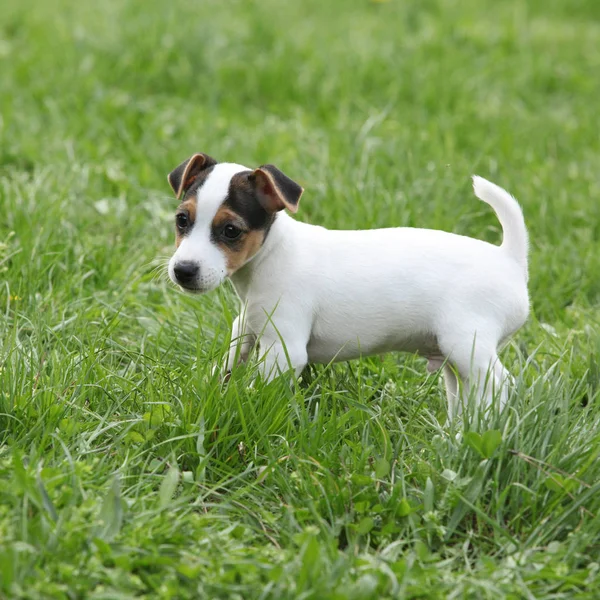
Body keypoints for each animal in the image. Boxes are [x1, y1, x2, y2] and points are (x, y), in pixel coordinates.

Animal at [166, 154, 528, 418]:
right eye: (182, 220)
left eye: (231, 230)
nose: (183, 271)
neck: (270, 255)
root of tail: (510, 259)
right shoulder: (248, 327)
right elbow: (228, 362)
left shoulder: (283, 349)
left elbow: (262, 388)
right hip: (453, 360)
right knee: (466, 395)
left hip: (467, 343)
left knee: (501, 384)